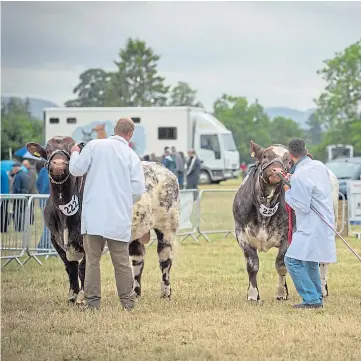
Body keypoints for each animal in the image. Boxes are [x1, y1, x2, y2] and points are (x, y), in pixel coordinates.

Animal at [26, 136, 179, 302]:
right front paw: (72, 297)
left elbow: (83, 268)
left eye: (72, 149)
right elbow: (70, 268)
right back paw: (135, 294)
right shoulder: (55, 239)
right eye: (47, 151)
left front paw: (82, 299)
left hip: (167, 226)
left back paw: (166, 294)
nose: (58, 164)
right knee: (137, 260)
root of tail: (161, 167)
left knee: (165, 259)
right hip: (135, 231)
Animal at [232, 141, 338, 300]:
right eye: (265, 156)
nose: (277, 170)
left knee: (323, 260)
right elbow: (252, 265)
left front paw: (281, 293)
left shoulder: (288, 236)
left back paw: (323, 289)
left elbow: (281, 265)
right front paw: (253, 295)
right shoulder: (242, 235)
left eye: (289, 161)